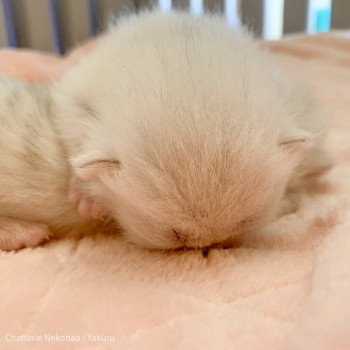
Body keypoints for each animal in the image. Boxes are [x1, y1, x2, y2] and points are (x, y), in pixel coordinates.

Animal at [52, 10, 330, 250]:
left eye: (242, 224)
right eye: (175, 235)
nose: (210, 245)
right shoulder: (73, 97)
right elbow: (75, 139)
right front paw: (84, 196)